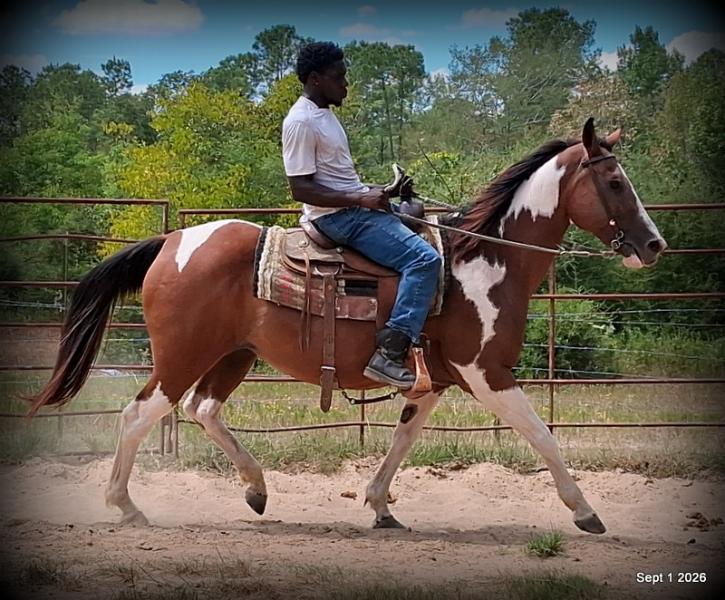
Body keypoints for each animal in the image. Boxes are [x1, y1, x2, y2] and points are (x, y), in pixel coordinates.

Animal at [27, 119, 666, 533]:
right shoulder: (487, 373)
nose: (654, 245)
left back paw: (256, 489)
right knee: (139, 414)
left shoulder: (434, 382)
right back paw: (126, 506)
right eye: (615, 183)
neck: (485, 261)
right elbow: (543, 435)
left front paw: (381, 506)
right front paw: (586, 512)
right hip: (182, 356)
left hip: (233, 355)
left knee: (203, 409)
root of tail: (173, 240)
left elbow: (403, 440)